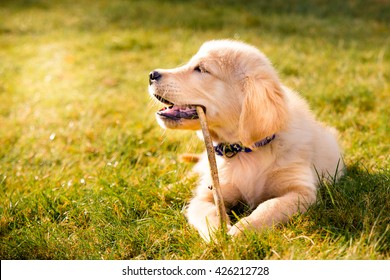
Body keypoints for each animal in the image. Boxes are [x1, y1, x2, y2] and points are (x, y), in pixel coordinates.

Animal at [148, 40, 342, 243]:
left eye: (201, 69)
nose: (152, 74)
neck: (243, 151)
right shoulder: (206, 195)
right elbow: (206, 212)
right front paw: (217, 233)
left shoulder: (301, 191)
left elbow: (269, 206)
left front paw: (242, 231)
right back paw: (169, 188)